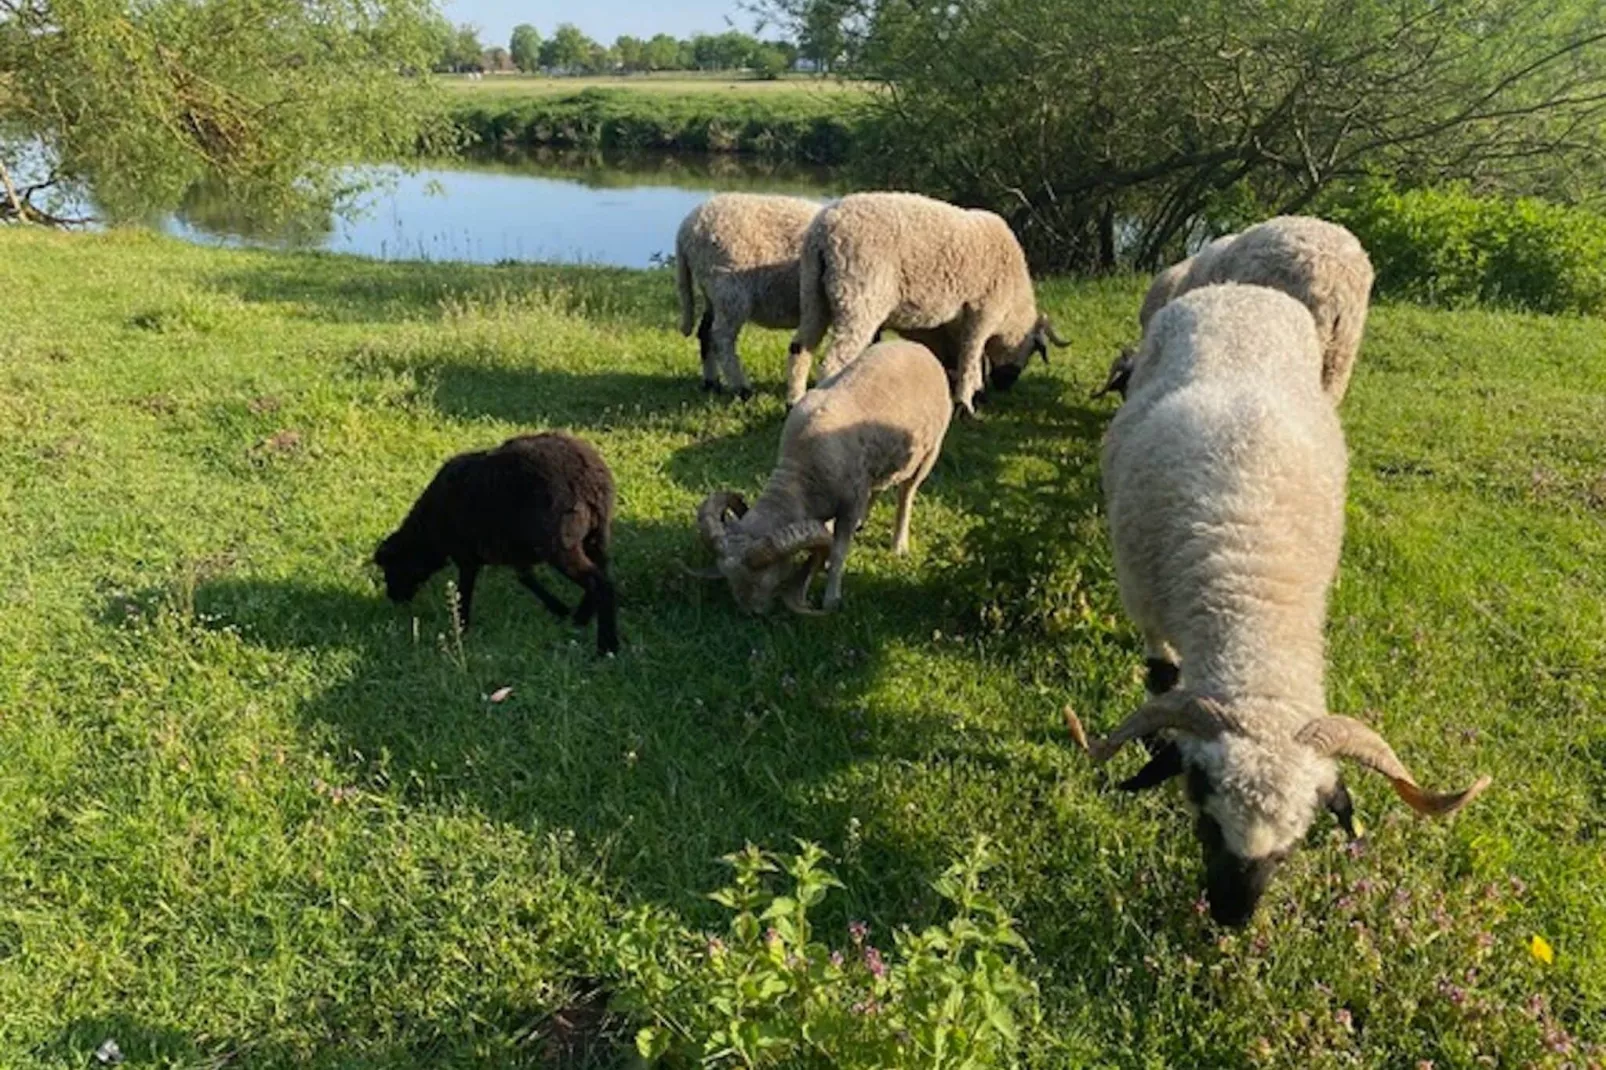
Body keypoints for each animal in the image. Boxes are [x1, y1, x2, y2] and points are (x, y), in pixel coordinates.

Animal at [375, 430, 619, 649]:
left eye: (392, 566)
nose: (393, 597)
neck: (428, 532)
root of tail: (589, 480)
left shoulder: (466, 555)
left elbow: (464, 591)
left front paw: (462, 627)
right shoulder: (515, 549)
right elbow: (526, 578)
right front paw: (559, 609)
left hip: (560, 543)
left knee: (600, 583)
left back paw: (607, 646)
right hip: (596, 536)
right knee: (602, 572)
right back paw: (582, 618)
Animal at [677, 191, 828, 395]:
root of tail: (686, 229)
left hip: (713, 292)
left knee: (705, 332)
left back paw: (712, 382)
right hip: (730, 288)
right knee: (721, 337)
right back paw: (741, 388)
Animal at [786, 189, 1066, 409]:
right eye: (1033, 350)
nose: (1005, 384)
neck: (1012, 310)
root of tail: (824, 231)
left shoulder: (958, 321)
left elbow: (966, 355)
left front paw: (973, 393)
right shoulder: (984, 311)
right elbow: (971, 354)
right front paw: (965, 403)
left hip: (813, 293)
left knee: (800, 347)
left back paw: (794, 402)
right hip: (859, 296)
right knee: (834, 361)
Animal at [1066, 282, 1490, 925]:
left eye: (1293, 845)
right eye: (1205, 819)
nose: (1230, 917)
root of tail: (1240, 289)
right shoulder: (1147, 606)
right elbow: (1160, 680)